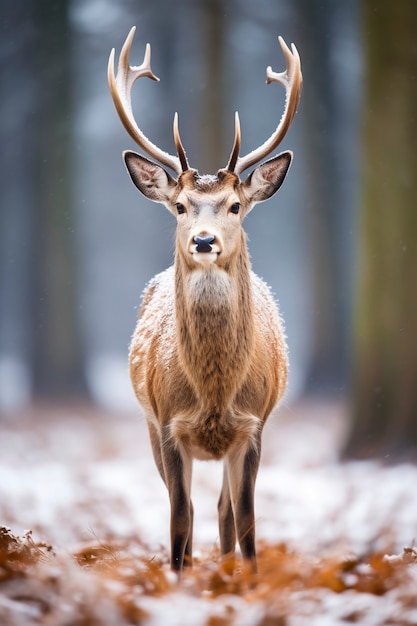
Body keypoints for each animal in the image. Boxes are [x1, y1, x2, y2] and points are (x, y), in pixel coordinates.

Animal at [109, 25, 300, 572]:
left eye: (235, 205)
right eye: (179, 206)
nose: (203, 240)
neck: (214, 394)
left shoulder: (254, 425)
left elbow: (248, 521)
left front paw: (248, 579)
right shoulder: (168, 423)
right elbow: (178, 521)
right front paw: (179, 579)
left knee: (223, 511)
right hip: (150, 424)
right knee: (195, 510)